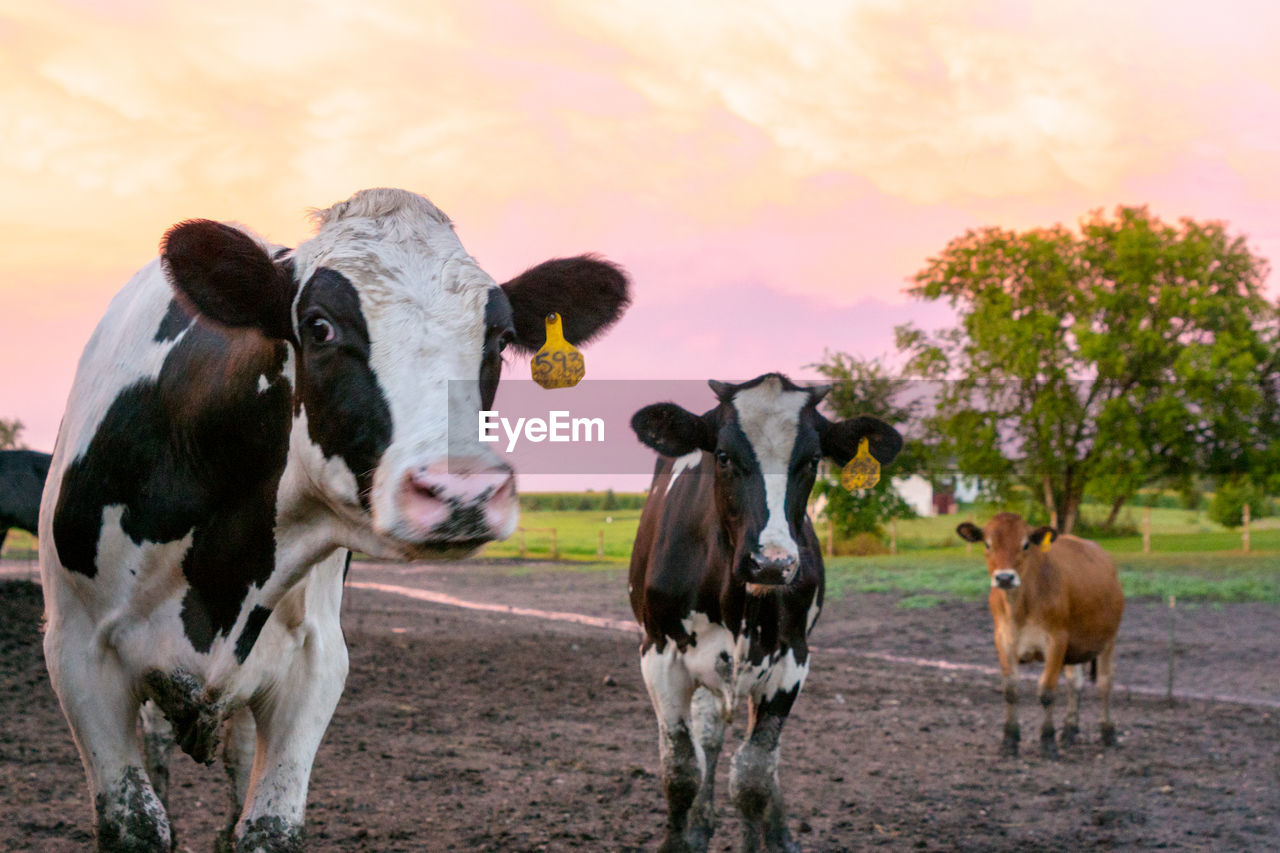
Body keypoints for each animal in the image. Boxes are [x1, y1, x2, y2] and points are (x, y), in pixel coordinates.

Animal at [42, 188, 632, 850]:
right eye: (319, 327)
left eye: (501, 339)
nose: (463, 492)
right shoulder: (77, 655)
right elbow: (136, 823)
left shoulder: (315, 663)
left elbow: (267, 826)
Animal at [627, 371, 901, 850]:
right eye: (722, 456)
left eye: (812, 459)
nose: (772, 563)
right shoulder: (659, 654)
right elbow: (680, 770)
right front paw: (681, 834)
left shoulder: (792, 658)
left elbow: (753, 775)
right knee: (709, 738)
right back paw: (699, 825)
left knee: (758, 756)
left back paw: (778, 832)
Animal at [957, 512, 1126, 758]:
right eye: (988, 544)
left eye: (1025, 544)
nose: (1005, 578)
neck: (1020, 606)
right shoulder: (1003, 639)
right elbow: (1010, 689)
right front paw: (1009, 740)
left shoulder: (1057, 640)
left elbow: (1047, 691)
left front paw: (1047, 741)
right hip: (1075, 647)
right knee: (1075, 683)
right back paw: (1069, 730)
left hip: (1108, 639)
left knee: (1105, 683)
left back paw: (1108, 732)